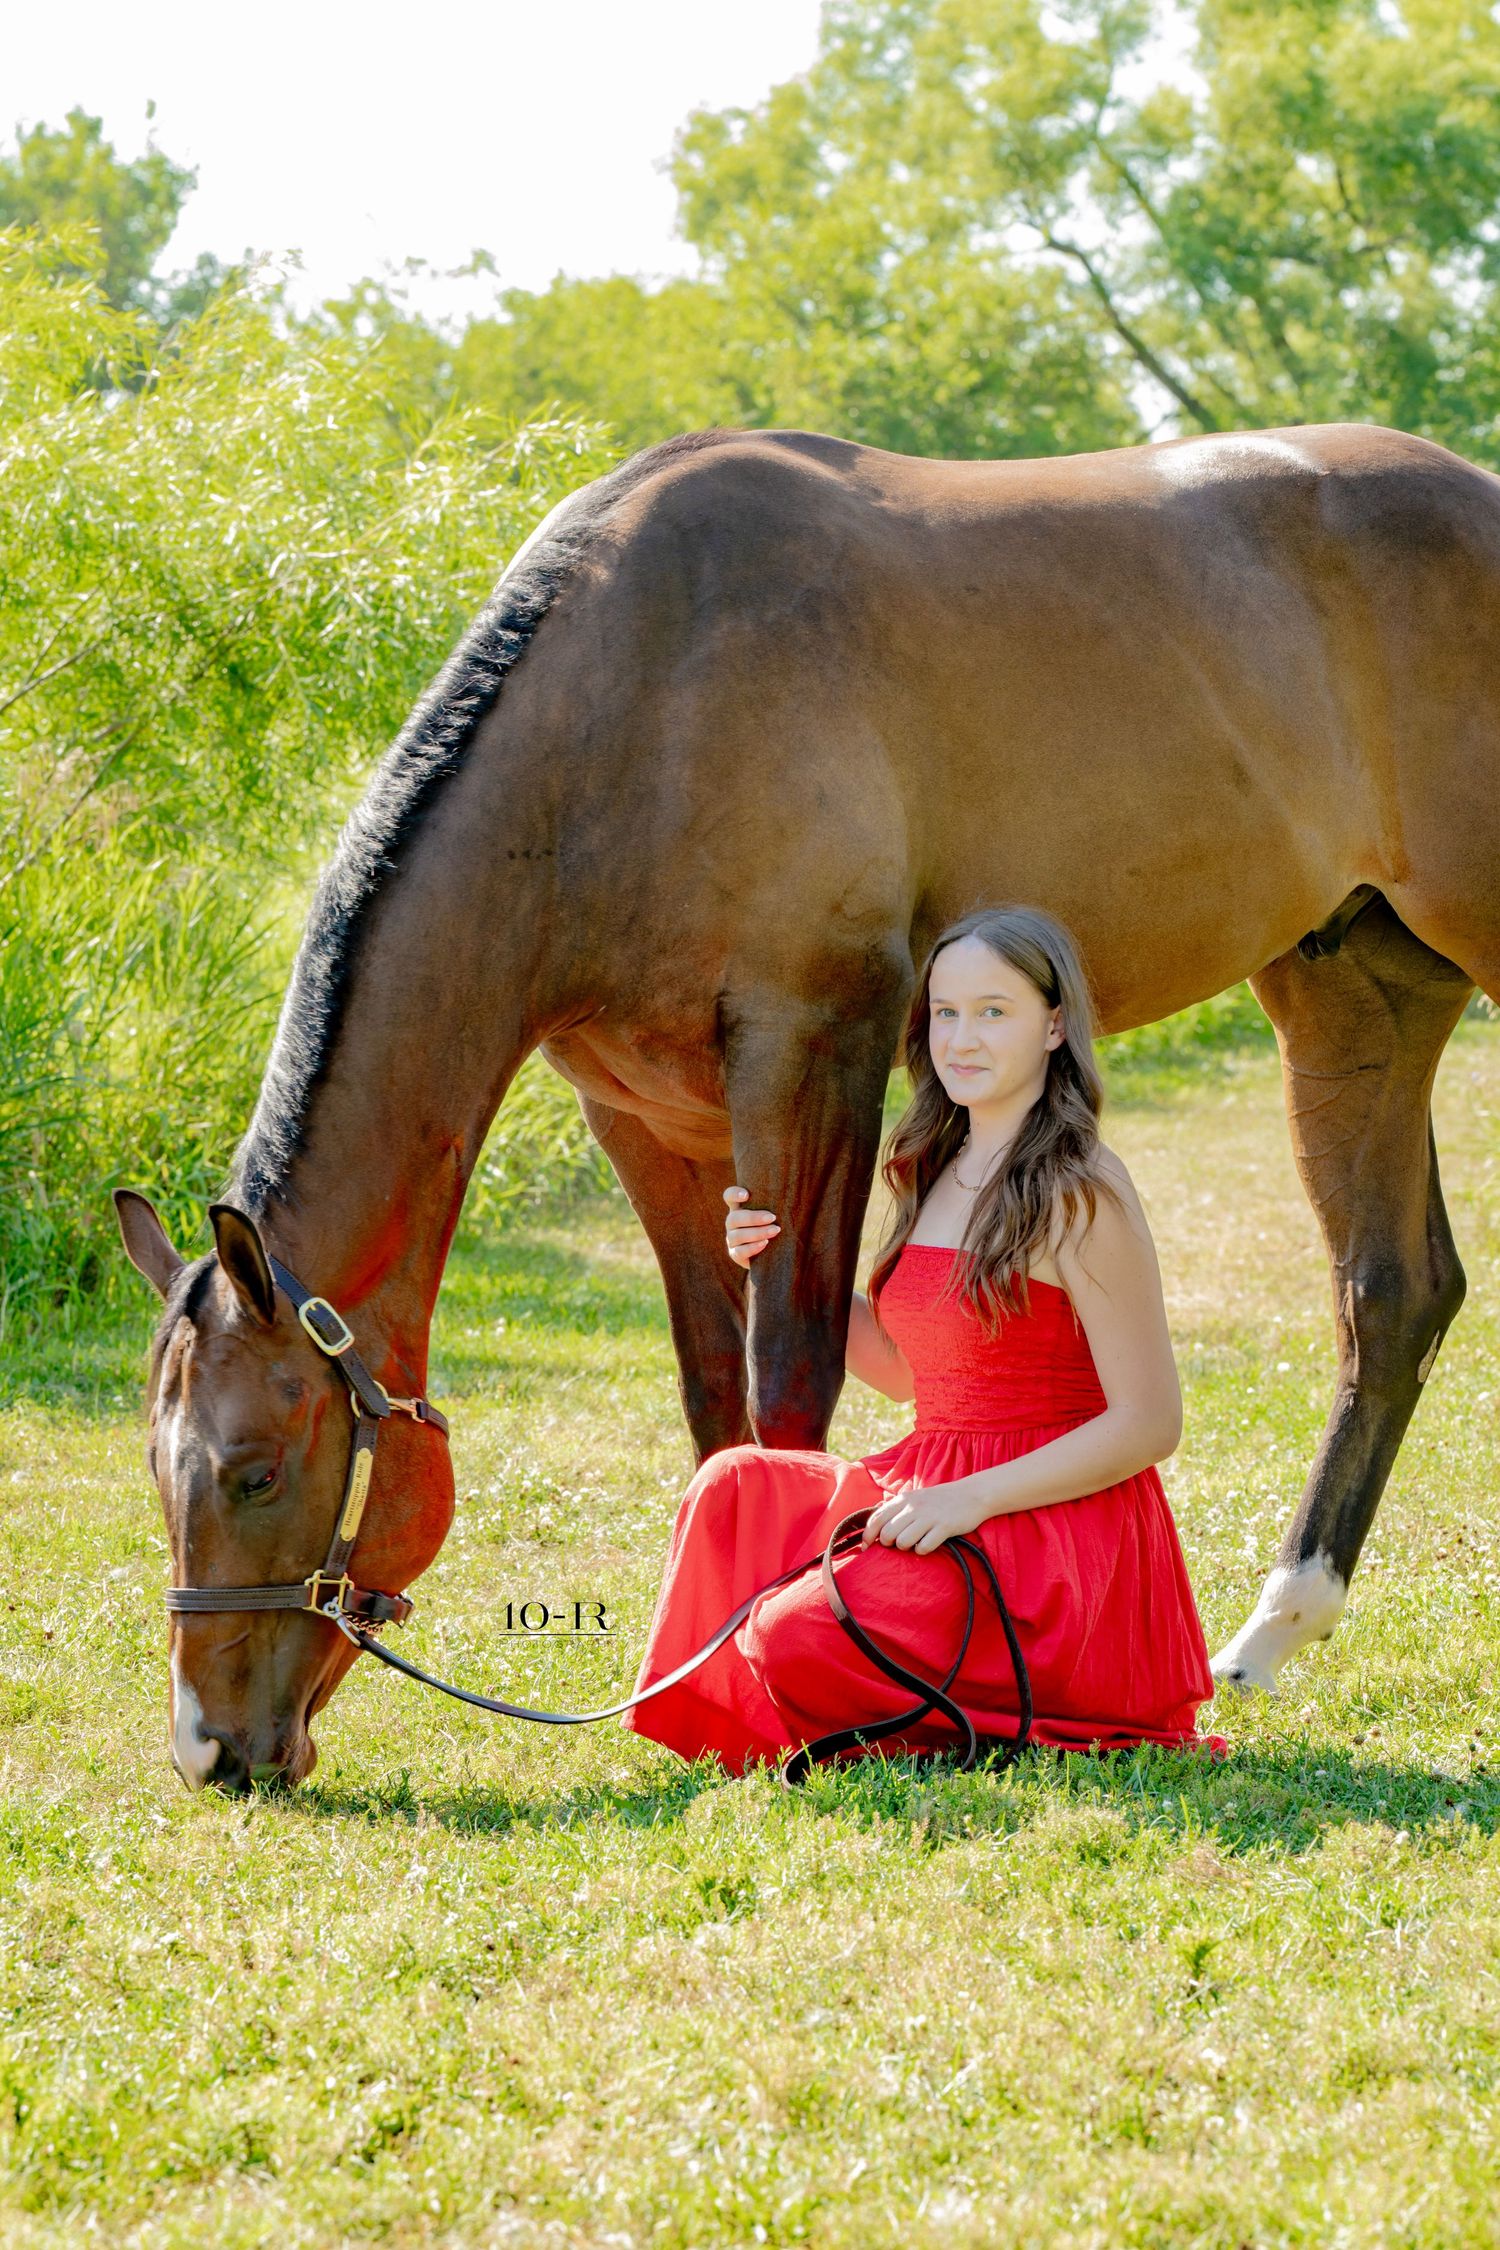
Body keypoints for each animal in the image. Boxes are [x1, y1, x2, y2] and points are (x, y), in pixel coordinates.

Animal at [114, 419, 1498, 1789]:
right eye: (157, 1467)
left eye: (252, 1472)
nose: (208, 1751)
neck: (639, 708)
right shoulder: (647, 1125)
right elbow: (713, 1399)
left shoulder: (813, 1055)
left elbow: (789, 1380)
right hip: (1352, 997)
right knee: (1392, 1296)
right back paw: (1273, 1631)